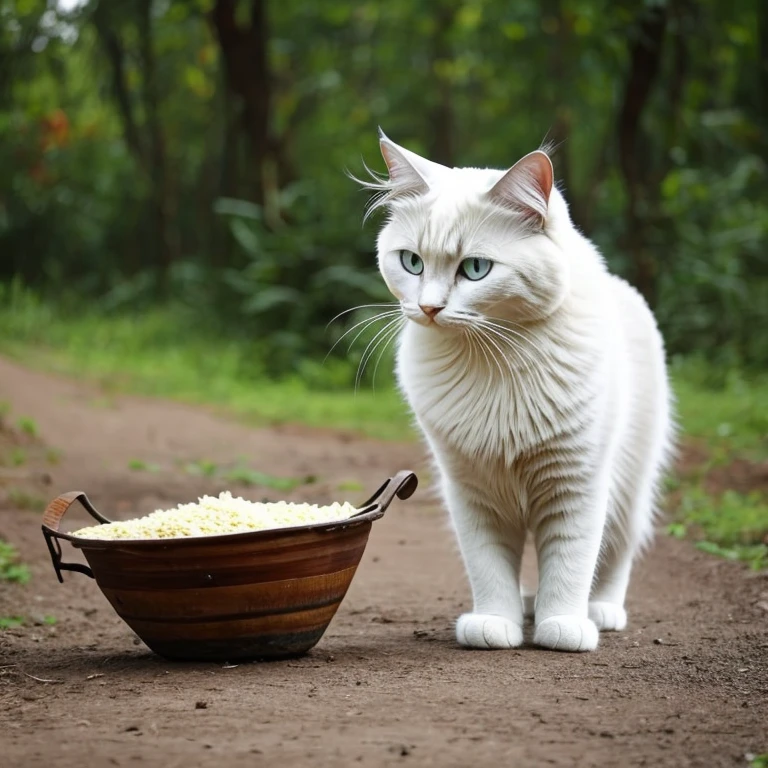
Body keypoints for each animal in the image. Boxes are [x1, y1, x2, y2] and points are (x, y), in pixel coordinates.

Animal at [358, 134, 672, 656]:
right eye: (411, 262)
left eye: (475, 269)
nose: (429, 307)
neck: (493, 363)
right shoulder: (470, 488)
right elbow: (489, 565)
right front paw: (495, 623)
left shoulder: (577, 482)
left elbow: (570, 561)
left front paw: (562, 625)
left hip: (631, 484)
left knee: (616, 551)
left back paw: (600, 611)